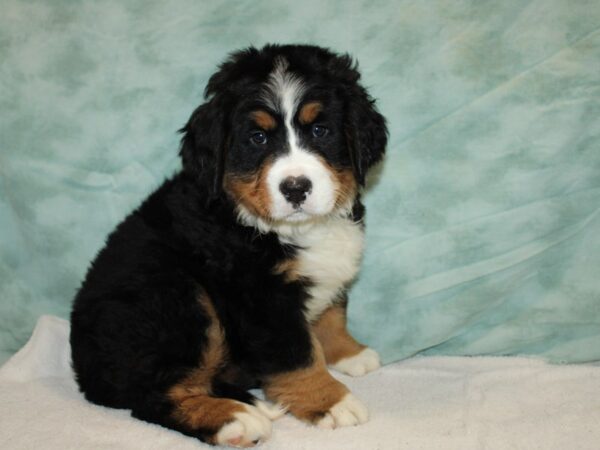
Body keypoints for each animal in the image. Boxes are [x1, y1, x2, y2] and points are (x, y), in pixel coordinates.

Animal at [71, 43, 390, 446]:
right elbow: (298, 354)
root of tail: (86, 374)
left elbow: (332, 315)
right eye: (257, 138)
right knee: (153, 396)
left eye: (320, 130)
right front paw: (331, 401)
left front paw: (350, 353)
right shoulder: (262, 296)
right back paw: (235, 418)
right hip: (178, 298)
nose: (296, 187)